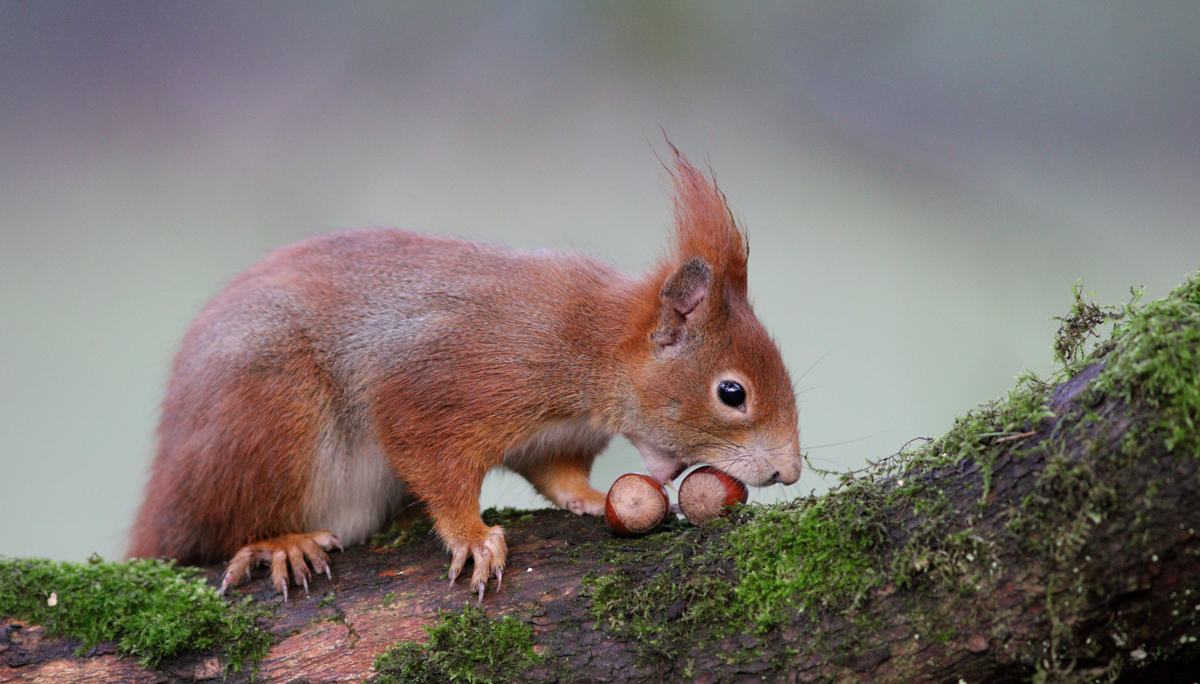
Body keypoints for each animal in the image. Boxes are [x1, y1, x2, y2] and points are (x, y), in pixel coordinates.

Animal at [126, 153, 801, 595]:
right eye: (732, 392)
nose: (789, 473)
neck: (591, 350)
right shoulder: (449, 382)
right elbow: (434, 460)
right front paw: (473, 537)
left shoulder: (553, 437)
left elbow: (555, 473)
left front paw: (590, 498)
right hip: (268, 416)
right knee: (223, 526)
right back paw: (279, 544)